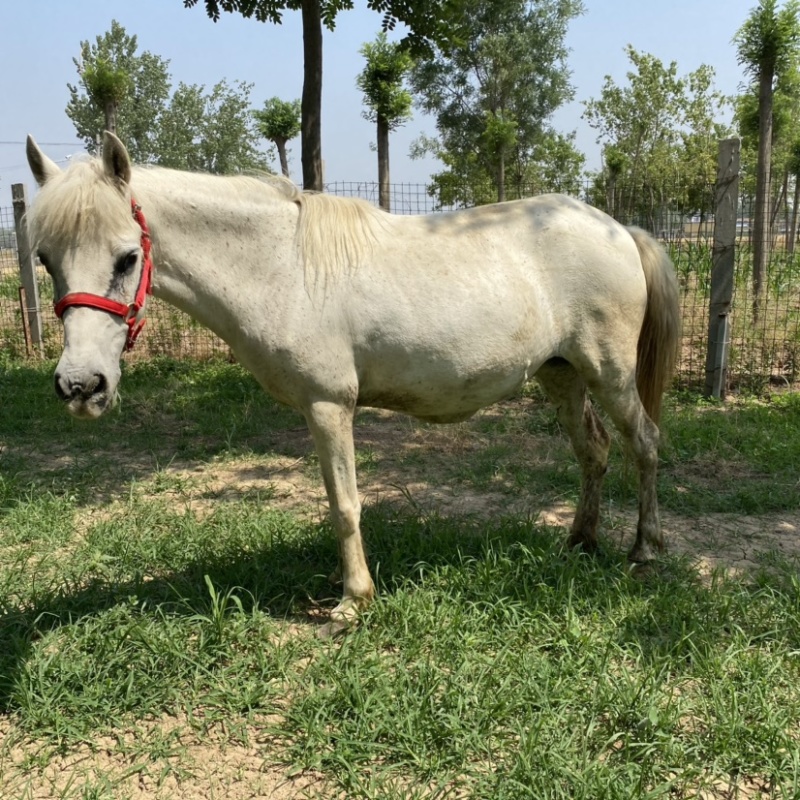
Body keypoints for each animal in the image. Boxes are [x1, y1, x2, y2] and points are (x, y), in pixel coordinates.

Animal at [25, 132, 681, 633]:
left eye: (127, 258)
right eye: (44, 259)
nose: (81, 386)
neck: (282, 266)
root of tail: (620, 228)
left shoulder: (328, 405)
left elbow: (345, 504)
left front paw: (352, 602)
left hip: (609, 373)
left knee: (645, 444)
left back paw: (644, 548)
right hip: (562, 375)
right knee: (594, 451)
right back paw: (580, 542)